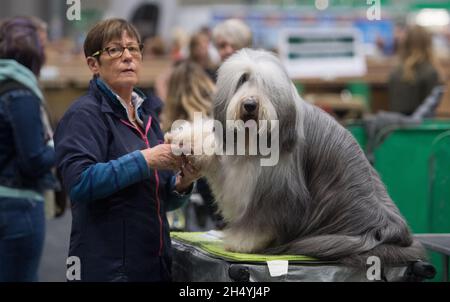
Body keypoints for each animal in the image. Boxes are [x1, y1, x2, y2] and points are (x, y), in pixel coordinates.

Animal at [166, 48, 426, 266]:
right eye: (242, 79)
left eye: (265, 85)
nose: (250, 104)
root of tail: (391, 231)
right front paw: (184, 139)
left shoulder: (277, 188)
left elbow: (261, 219)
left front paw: (243, 242)